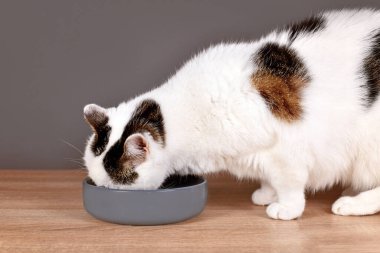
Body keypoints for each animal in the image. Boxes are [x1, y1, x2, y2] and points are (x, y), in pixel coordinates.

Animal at [83, 9, 380, 219]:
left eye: (114, 185)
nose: (101, 190)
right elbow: (270, 178)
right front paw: (267, 194)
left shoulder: (288, 151)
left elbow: (289, 183)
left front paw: (286, 208)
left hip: (369, 149)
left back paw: (351, 203)